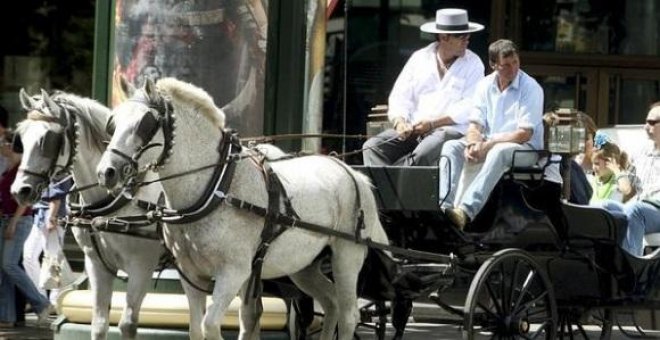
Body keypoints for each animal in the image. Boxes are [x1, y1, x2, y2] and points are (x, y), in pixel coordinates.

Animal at [10, 89, 168, 338]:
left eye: (46, 139)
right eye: (21, 138)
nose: (20, 191)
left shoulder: (142, 265)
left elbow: (127, 324)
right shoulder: (96, 264)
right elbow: (100, 323)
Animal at [95, 77, 390, 340]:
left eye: (144, 123)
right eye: (112, 123)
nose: (106, 172)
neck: (215, 186)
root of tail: (353, 173)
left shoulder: (234, 272)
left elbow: (210, 325)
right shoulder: (190, 274)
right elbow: (196, 330)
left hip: (347, 256)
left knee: (349, 314)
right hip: (303, 267)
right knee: (331, 304)